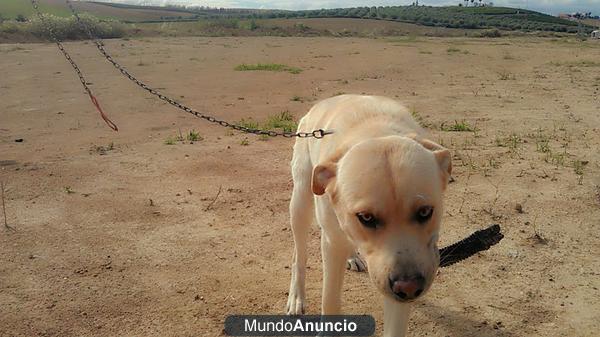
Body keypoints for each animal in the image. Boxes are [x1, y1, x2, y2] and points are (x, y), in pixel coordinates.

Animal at [286, 94, 450, 336]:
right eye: (366, 217)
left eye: (425, 212)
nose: (409, 287)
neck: (375, 130)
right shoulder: (332, 243)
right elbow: (330, 301)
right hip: (300, 201)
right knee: (299, 254)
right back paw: (296, 296)